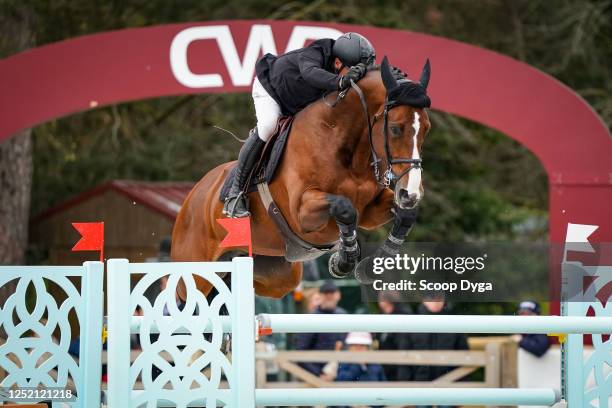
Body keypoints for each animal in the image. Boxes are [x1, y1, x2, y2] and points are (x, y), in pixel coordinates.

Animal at [170, 55, 432, 298]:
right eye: (395, 128)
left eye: (426, 129)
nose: (410, 194)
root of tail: (192, 197)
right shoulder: (302, 212)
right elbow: (344, 207)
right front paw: (344, 260)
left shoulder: (369, 210)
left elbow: (405, 216)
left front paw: (368, 266)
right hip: (192, 272)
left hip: (276, 275)